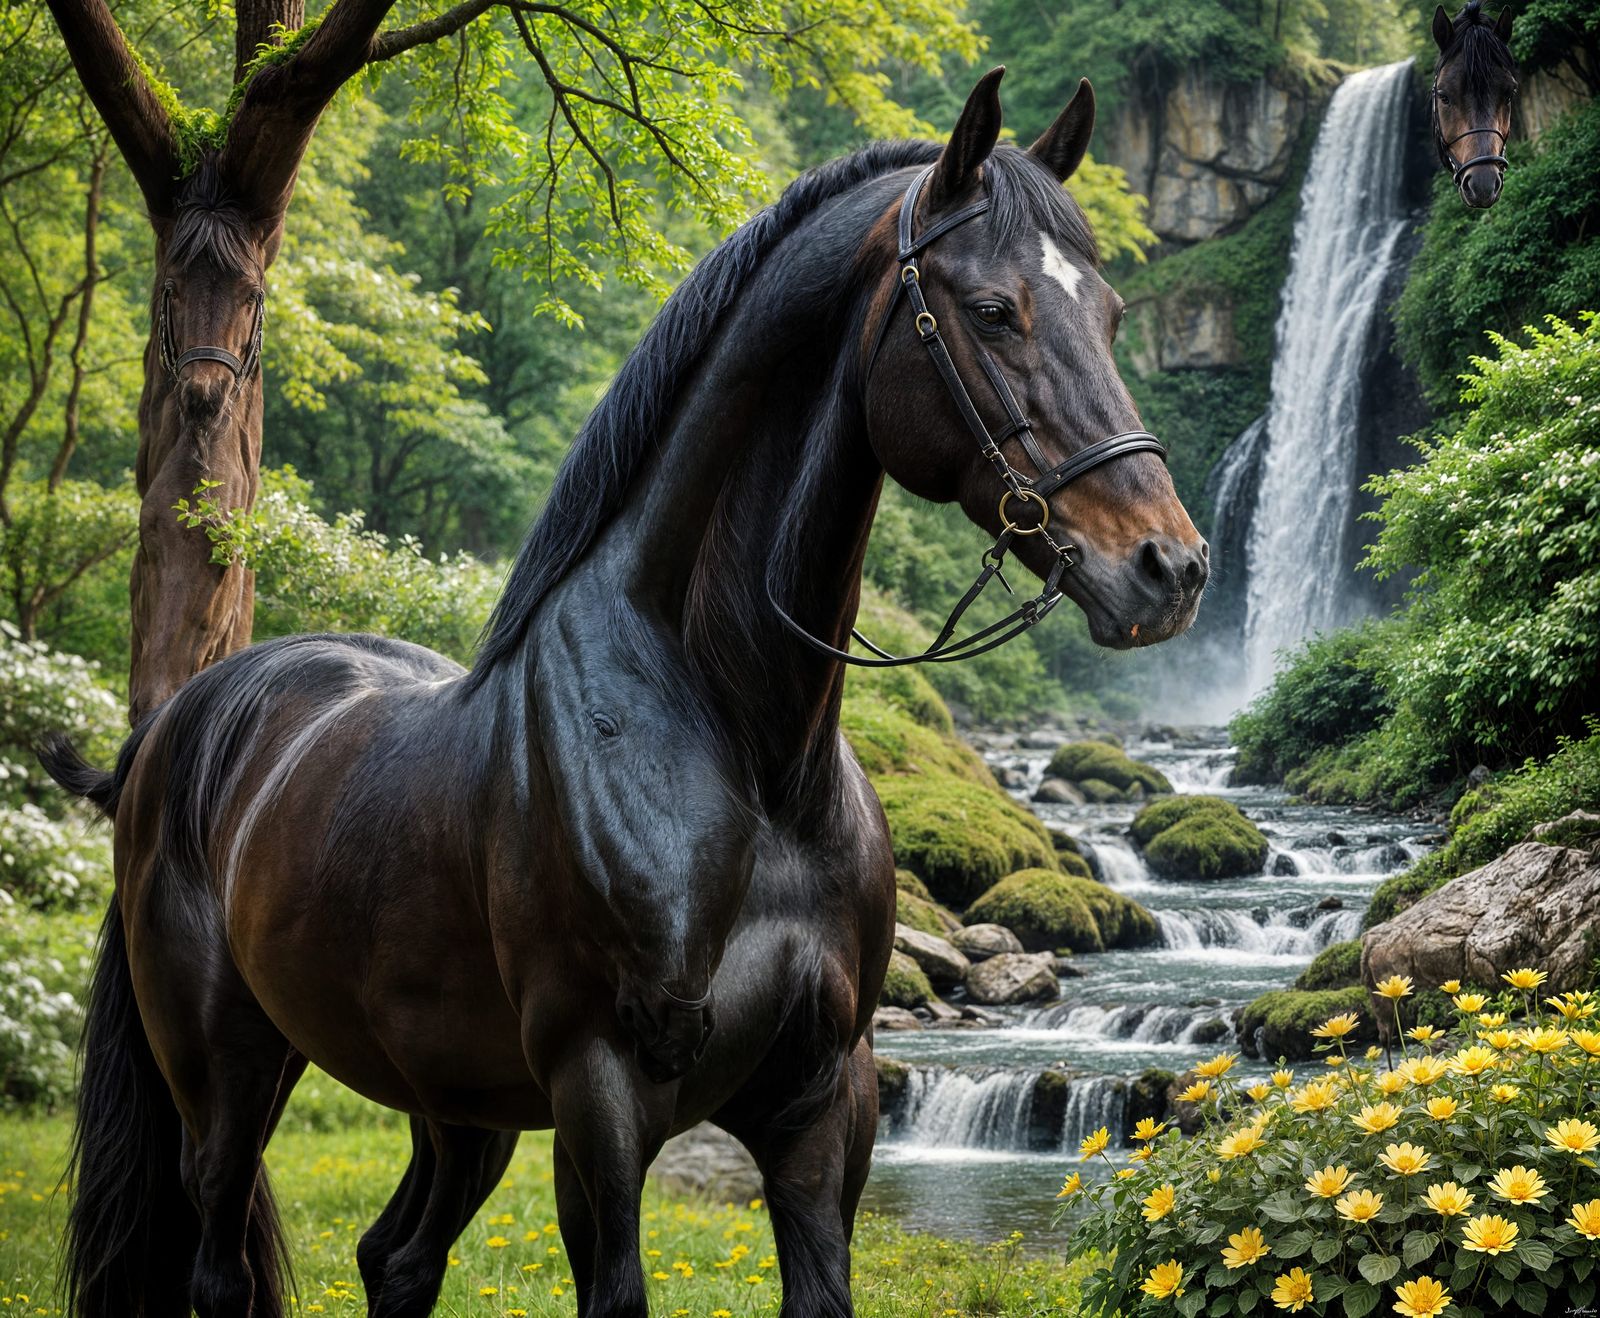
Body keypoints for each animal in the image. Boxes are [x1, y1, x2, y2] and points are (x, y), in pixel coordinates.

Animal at [42, 68, 1207, 1318]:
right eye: (992, 310)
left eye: (1112, 315)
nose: (1167, 567)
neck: (741, 747)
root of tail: (173, 730)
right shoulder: (599, 1098)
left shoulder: (823, 1104)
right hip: (227, 1071)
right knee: (219, 1261)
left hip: (455, 1103)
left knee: (396, 1257)